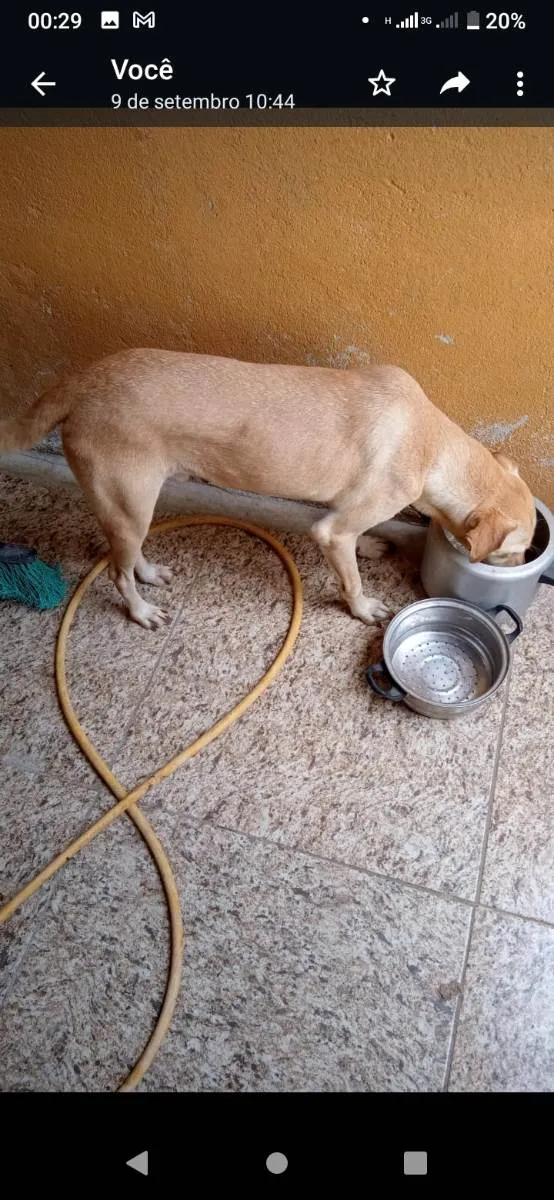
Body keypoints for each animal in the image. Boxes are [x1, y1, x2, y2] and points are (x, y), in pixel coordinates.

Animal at [0, 348, 537, 628]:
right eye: (513, 551)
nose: (524, 566)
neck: (433, 444)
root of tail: (83, 380)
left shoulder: (342, 514)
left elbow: (356, 539)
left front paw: (369, 547)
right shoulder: (332, 531)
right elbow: (350, 578)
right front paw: (362, 608)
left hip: (135, 508)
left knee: (128, 559)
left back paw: (150, 574)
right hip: (128, 504)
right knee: (116, 571)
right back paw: (140, 610)